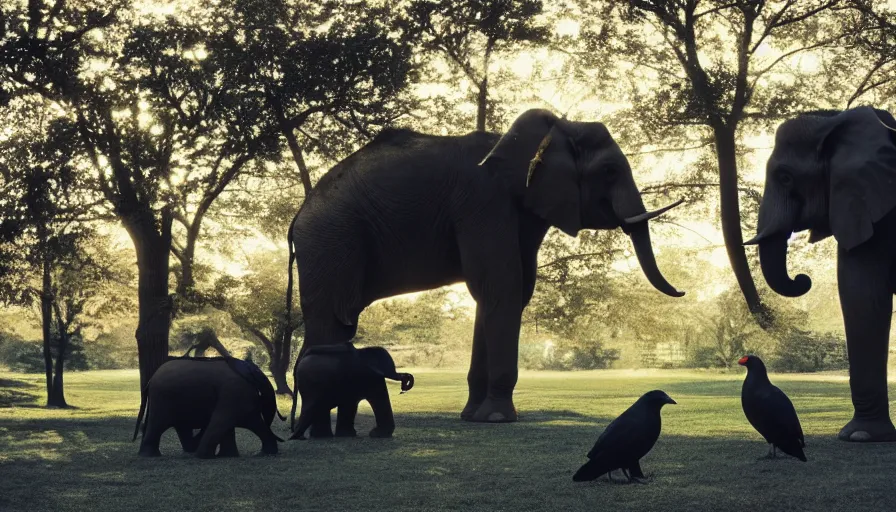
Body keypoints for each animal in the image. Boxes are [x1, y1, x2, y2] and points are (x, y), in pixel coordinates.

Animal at [133, 356, 284, 460]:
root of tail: (150, 381)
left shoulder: (233, 394)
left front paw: (225, 456)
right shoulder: (234, 392)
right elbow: (223, 421)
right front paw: (206, 456)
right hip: (162, 399)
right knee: (158, 424)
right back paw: (149, 455)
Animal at [288, 108, 688, 424]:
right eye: (609, 170)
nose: (683, 291)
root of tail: (297, 219)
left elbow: (502, 293)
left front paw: (475, 417)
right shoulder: (482, 200)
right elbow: (501, 287)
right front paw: (498, 419)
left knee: (332, 322)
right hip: (331, 240)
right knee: (333, 318)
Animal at [744, 106, 896, 442]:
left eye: (785, 177)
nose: (803, 278)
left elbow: (861, 295)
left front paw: (861, 436)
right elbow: (859, 289)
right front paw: (860, 435)